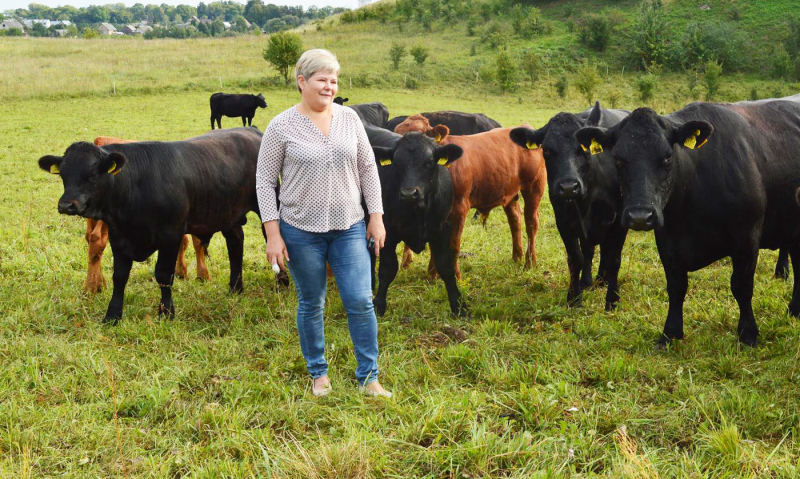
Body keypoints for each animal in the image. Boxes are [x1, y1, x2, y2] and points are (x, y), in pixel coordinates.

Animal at [39, 127, 264, 324]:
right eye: (63, 174)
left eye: (92, 175)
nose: (66, 205)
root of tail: (250, 130)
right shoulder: (118, 236)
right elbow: (119, 276)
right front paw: (112, 315)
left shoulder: (170, 236)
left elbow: (163, 275)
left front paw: (166, 313)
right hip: (229, 215)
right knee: (236, 243)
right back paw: (235, 288)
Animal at [370, 133, 466, 316]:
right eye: (396, 163)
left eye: (429, 162)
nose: (409, 193)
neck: (418, 212)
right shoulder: (387, 231)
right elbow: (387, 269)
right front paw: (379, 305)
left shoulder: (443, 228)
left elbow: (446, 267)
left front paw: (458, 305)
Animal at [396, 116, 548, 280]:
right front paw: (432, 274)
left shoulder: (459, 208)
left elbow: (453, 244)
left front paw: (455, 276)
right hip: (510, 193)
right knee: (515, 221)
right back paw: (516, 258)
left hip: (534, 187)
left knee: (531, 223)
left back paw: (529, 263)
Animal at [512, 101, 632, 312]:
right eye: (547, 150)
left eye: (583, 149)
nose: (568, 187)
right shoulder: (564, 222)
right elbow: (577, 258)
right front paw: (574, 297)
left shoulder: (618, 222)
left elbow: (614, 258)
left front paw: (612, 299)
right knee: (590, 250)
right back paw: (589, 281)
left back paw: (602, 279)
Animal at [576, 96, 800, 344]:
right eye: (617, 159)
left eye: (668, 157)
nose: (640, 216)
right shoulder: (667, 240)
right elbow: (676, 287)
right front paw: (670, 334)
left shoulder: (748, 236)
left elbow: (741, 285)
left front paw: (748, 334)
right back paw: (795, 310)